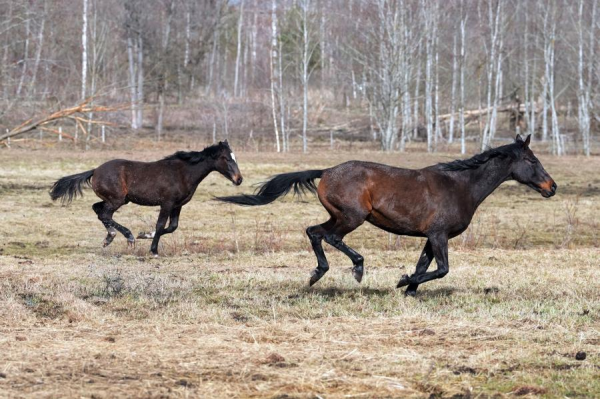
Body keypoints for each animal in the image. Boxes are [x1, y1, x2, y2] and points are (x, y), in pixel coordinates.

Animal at [49, 140, 241, 256]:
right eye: (225, 158)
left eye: (234, 157)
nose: (239, 179)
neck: (184, 173)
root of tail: (95, 170)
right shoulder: (167, 203)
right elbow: (161, 225)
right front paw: (153, 249)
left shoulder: (178, 205)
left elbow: (172, 227)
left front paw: (145, 235)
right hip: (117, 200)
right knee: (104, 214)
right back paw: (127, 237)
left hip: (118, 200)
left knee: (98, 209)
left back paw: (110, 238)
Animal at [219, 136, 556, 296]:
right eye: (532, 160)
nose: (551, 187)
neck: (461, 185)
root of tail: (326, 171)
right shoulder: (439, 235)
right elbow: (442, 269)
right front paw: (403, 281)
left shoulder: (431, 237)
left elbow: (425, 265)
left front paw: (410, 290)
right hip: (351, 217)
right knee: (330, 237)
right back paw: (357, 268)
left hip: (339, 216)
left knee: (314, 231)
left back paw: (317, 274)